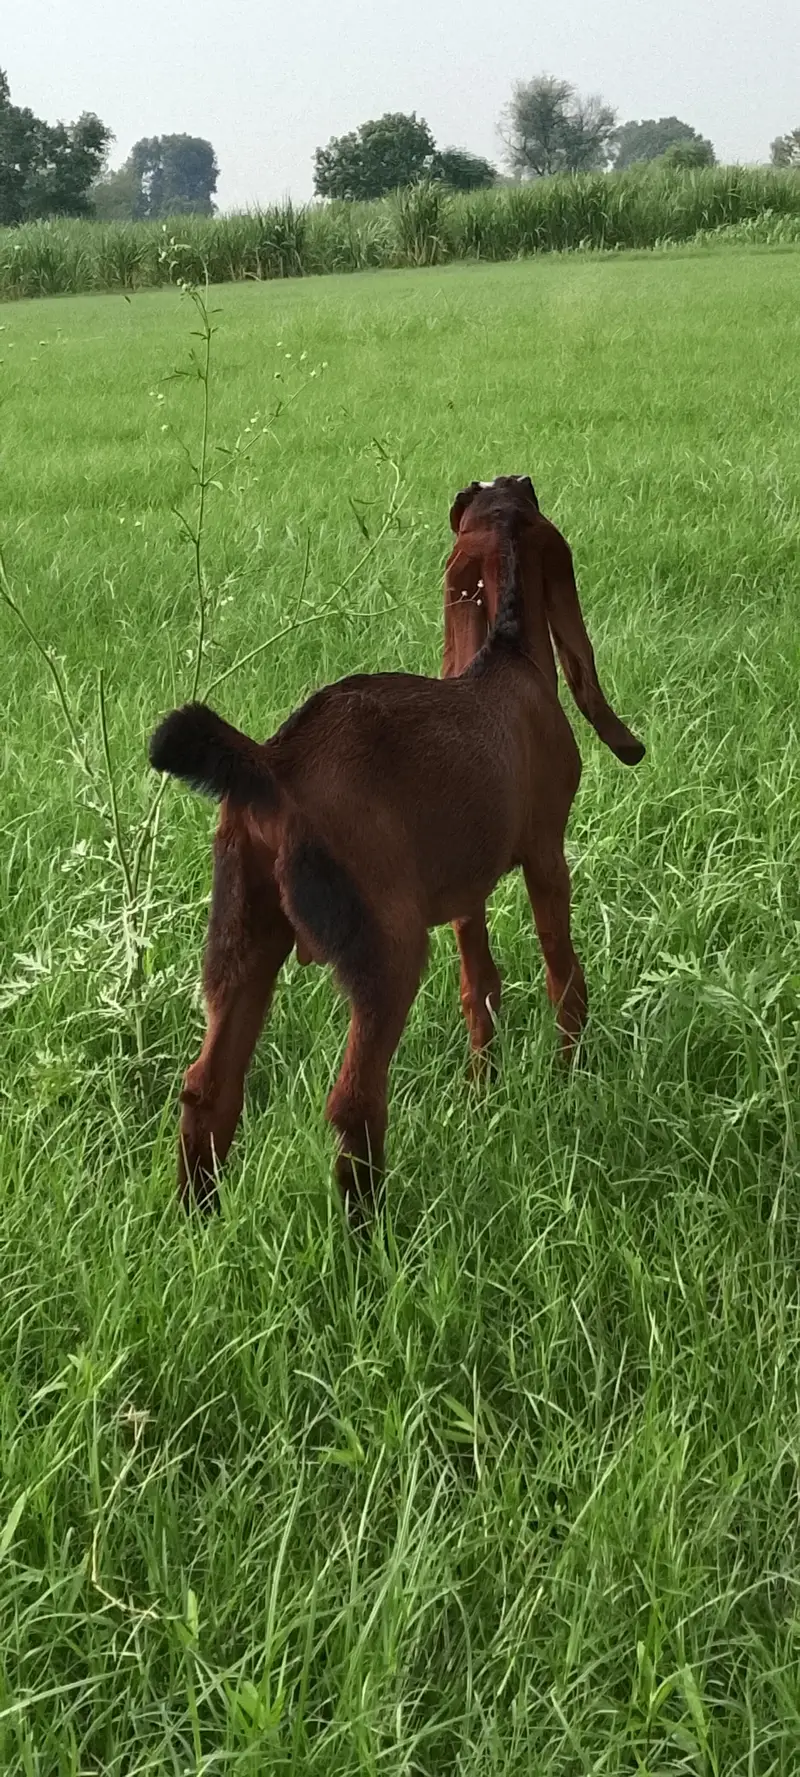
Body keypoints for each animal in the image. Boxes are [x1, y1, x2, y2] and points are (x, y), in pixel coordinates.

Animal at [149, 474, 644, 1214]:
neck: (508, 657)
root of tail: (272, 765)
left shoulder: (465, 891)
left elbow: (480, 989)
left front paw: (482, 1094)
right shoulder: (545, 856)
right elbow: (564, 974)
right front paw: (568, 1078)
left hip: (242, 938)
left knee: (209, 1088)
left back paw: (197, 1220)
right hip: (388, 951)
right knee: (354, 1101)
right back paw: (372, 1230)